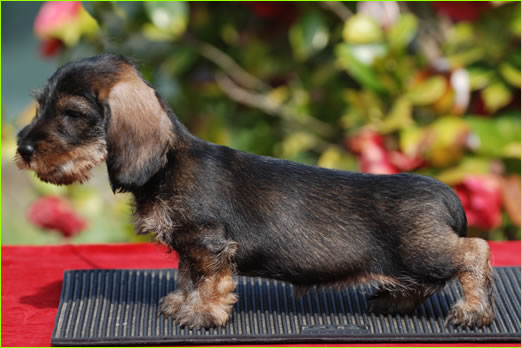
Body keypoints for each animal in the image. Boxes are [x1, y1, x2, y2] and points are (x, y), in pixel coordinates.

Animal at [16, 54, 494, 328]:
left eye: (73, 113)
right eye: (41, 105)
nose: (21, 150)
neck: (167, 164)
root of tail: (444, 194)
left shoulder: (210, 243)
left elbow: (210, 282)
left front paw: (203, 314)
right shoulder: (190, 247)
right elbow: (187, 277)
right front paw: (182, 304)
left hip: (422, 250)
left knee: (474, 253)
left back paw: (473, 310)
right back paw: (395, 302)